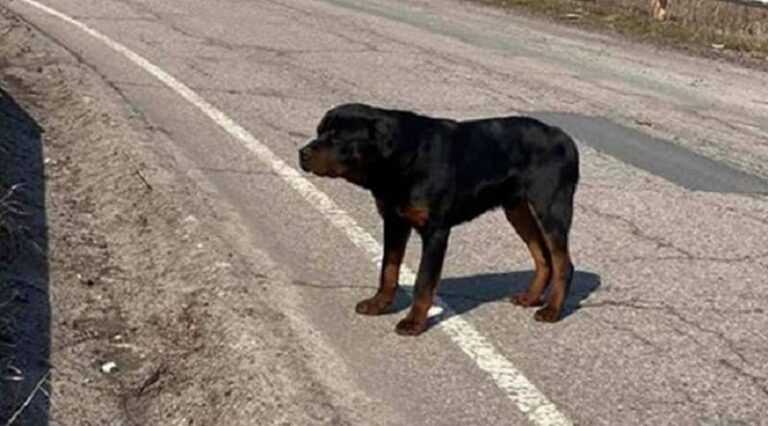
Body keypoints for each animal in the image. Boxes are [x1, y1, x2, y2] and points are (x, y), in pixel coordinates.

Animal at [296, 104, 580, 336]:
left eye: (337, 137)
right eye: (319, 131)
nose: (302, 153)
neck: (401, 158)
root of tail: (565, 138)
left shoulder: (435, 231)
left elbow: (423, 282)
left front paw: (414, 322)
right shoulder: (394, 221)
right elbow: (388, 268)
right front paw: (380, 303)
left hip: (551, 207)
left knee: (562, 262)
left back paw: (552, 310)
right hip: (517, 208)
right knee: (543, 258)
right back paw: (531, 297)